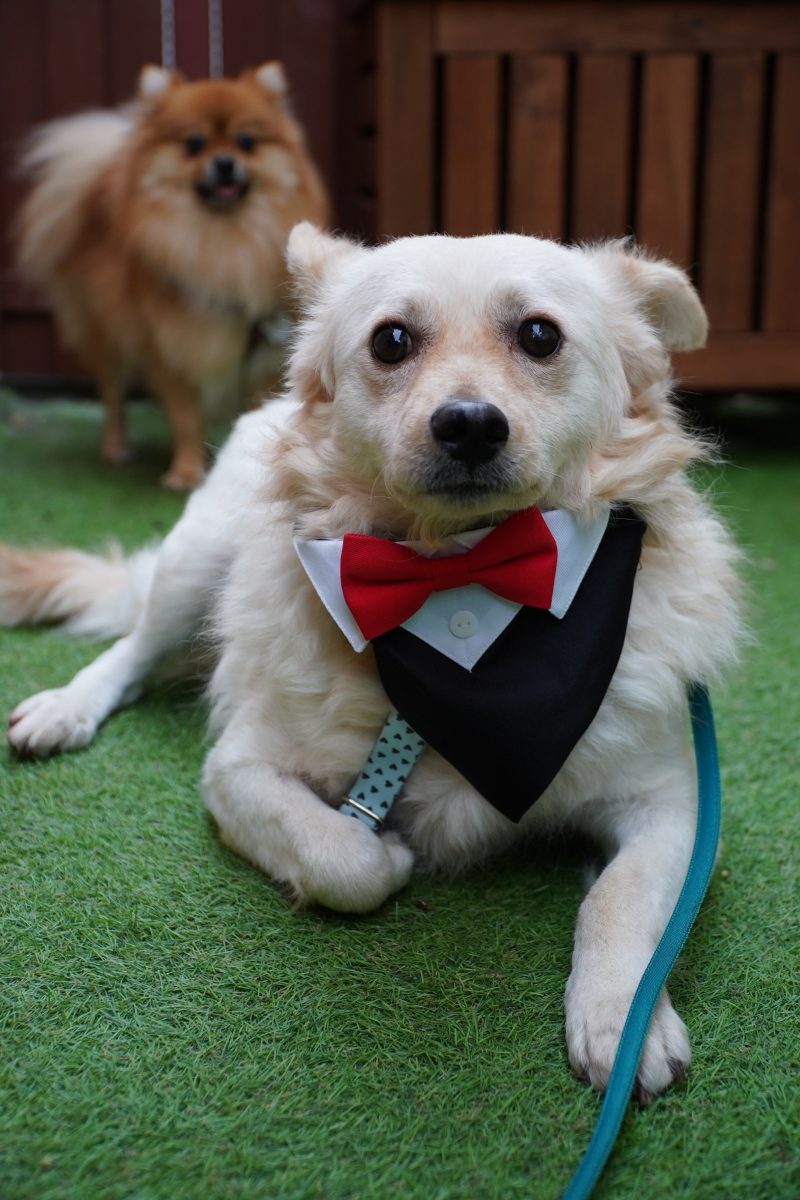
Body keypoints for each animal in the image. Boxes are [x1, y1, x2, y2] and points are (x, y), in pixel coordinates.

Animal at [2, 225, 742, 1102]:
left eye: (539, 335)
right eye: (391, 341)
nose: (469, 425)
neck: (464, 579)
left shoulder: (676, 805)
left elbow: (622, 900)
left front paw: (624, 1017)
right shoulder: (237, 768)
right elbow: (341, 858)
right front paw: (387, 854)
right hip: (195, 561)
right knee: (131, 647)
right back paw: (65, 708)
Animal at [15, 63, 330, 489]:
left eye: (246, 141)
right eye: (194, 143)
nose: (225, 162)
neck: (223, 241)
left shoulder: (262, 355)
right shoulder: (171, 346)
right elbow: (184, 416)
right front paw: (185, 472)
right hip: (106, 337)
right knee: (113, 396)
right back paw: (115, 449)